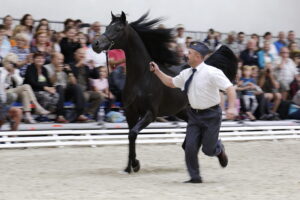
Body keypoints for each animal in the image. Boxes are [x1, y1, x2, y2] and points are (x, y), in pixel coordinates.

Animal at [91, 11, 237, 173]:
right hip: (183, 112)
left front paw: (135, 164)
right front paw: (129, 167)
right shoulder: (130, 112)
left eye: (118, 29)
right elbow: (130, 136)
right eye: (107, 27)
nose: (95, 44)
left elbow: (133, 133)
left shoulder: (150, 114)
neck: (142, 79)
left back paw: (221, 157)